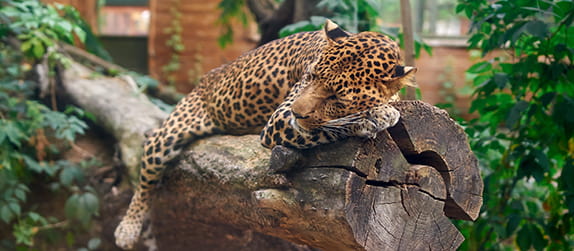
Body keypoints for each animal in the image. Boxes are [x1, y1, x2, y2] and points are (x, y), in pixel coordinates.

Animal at [113, 19, 418, 249]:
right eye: (311, 75)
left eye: (337, 97)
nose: (296, 112)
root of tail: (205, 79)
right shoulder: (279, 120)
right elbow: (329, 126)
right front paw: (374, 116)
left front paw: (382, 110)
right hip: (171, 133)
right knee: (146, 175)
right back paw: (128, 229)